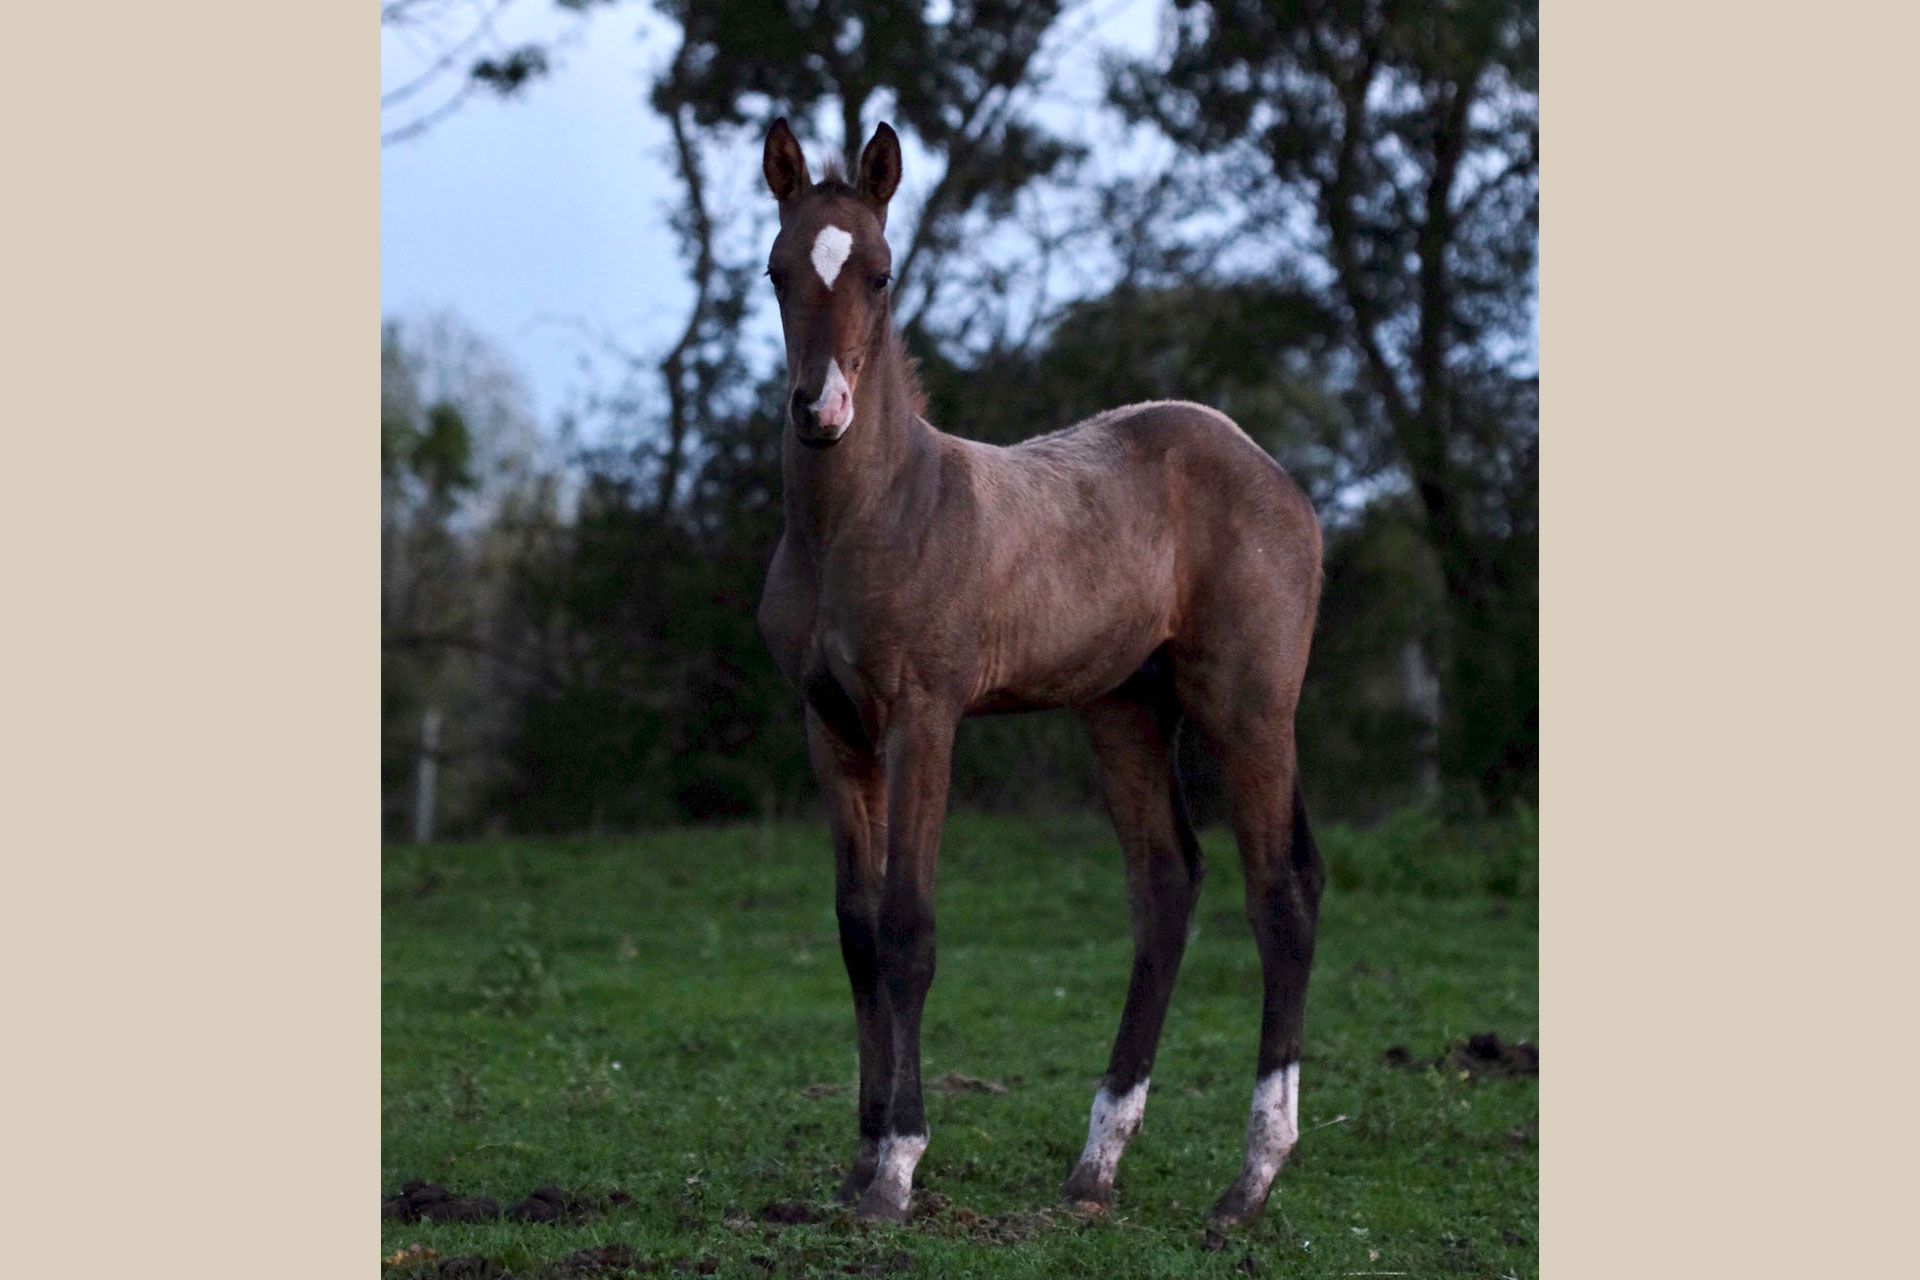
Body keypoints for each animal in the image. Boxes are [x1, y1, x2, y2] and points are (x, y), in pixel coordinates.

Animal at [756, 119, 1328, 1228]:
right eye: (776, 271)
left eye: (881, 273)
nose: (820, 411)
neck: (869, 518)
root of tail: (1273, 471)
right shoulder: (829, 726)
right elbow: (855, 931)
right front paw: (858, 1160)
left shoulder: (925, 719)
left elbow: (908, 929)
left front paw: (898, 1166)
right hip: (1125, 710)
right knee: (1166, 885)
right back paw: (1096, 1164)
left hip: (1247, 705)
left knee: (1279, 891)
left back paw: (1250, 1179)